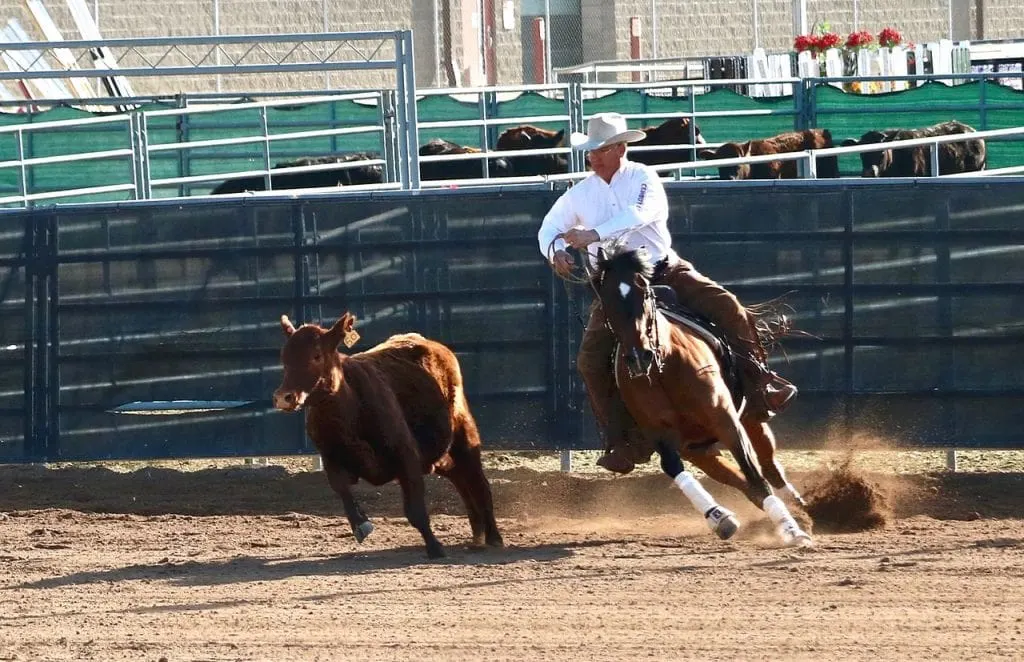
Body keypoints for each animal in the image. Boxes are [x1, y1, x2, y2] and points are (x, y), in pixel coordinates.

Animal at [272, 313, 503, 557]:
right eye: (284, 357)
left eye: (316, 355)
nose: (284, 397)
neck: (348, 410)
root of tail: (436, 347)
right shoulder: (331, 459)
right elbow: (342, 490)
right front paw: (361, 525)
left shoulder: (406, 457)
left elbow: (415, 510)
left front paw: (434, 547)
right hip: (439, 455)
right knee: (461, 479)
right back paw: (478, 534)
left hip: (464, 436)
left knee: (479, 483)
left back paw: (493, 536)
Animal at [589, 243, 811, 549]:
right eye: (606, 299)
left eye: (644, 292)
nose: (638, 357)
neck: (664, 367)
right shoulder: (658, 433)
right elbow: (674, 467)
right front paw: (719, 516)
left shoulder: (726, 421)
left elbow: (753, 471)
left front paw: (792, 530)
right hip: (698, 448)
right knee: (739, 481)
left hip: (750, 415)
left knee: (767, 464)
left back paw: (798, 507)